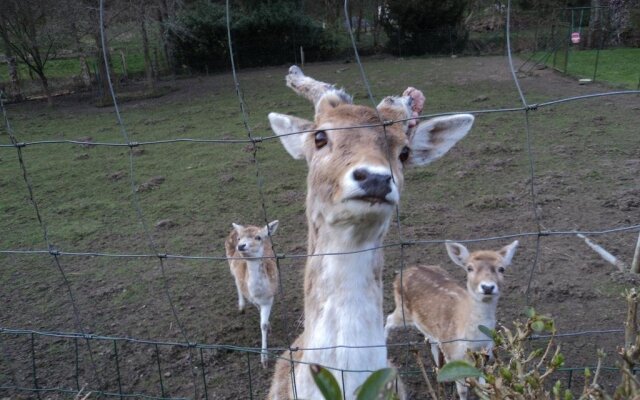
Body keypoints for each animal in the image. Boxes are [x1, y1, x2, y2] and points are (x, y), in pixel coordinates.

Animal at [225, 220, 280, 368]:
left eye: (258, 237)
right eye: (240, 238)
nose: (241, 246)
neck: (258, 293)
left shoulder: (270, 297)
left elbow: (263, 324)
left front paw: (264, 359)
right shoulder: (253, 299)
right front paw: (264, 359)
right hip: (230, 261)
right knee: (236, 281)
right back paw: (241, 306)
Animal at [384, 239, 520, 398]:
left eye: (502, 269)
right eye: (469, 268)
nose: (487, 287)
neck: (473, 341)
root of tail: (403, 272)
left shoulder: (487, 355)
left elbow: (484, 384)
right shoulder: (454, 356)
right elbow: (462, 391)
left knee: (430, 338)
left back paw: (439, 369)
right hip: (403, 310)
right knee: (388, 319)